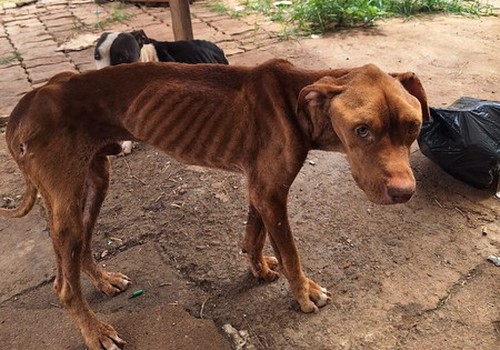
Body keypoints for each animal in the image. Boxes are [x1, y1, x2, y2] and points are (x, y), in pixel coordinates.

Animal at [0, 58, 430, 348]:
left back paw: (102, 280)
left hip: (95, 181)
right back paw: (96, 332)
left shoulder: (261, 188)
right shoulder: (272, 194)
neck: (299, 102)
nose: (404, 192)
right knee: (62, 285)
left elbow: (254, 237)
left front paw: (259, 269)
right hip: (66, 205)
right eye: (362, 130)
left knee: (83, 248)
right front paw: (304, 292)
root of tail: (27, 102)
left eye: (413, 126)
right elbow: (291, 253)